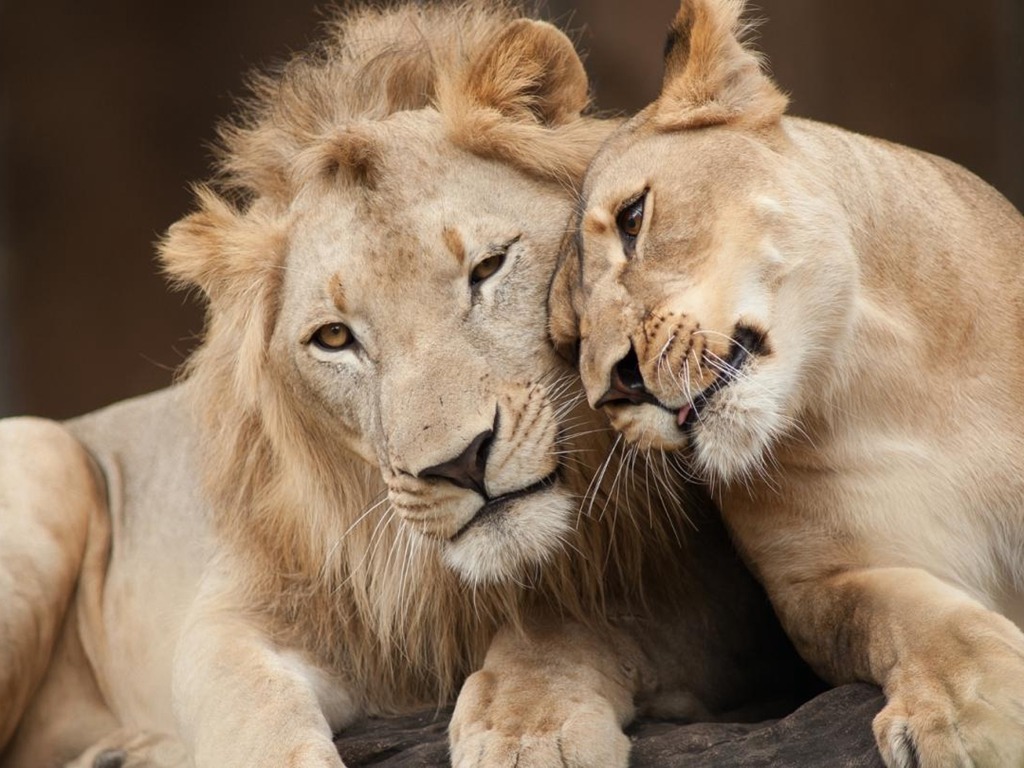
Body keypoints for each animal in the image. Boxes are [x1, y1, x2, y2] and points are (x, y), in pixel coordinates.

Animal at [0, 3, 798, 765]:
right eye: (334, 338)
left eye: (488, 267)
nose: (460, 463)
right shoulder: (245, 607)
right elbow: (246, 703)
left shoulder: (718, 594)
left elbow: (581, 622)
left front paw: (529, 730)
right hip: (42, 457)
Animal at [557, 1, 1024, 768]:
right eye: (568, 344)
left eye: (633, 219)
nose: (615, 388)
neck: (881, 385)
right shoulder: (815, 586)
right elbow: (897, 610)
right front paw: (973, 711)